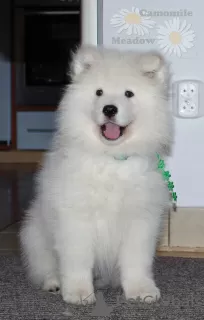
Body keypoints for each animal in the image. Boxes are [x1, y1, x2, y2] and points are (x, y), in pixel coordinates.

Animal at [19, 45, 174, 304]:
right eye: (99, 92)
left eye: (129, 94)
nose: (109, 108)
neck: (110, 158)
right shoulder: (75, 218)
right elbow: (78, 260)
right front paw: (79, 293)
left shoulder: (140, 219)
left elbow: (136, 260)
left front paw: (141, 290)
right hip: (35, 235)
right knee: (45, 267)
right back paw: (54, 283)